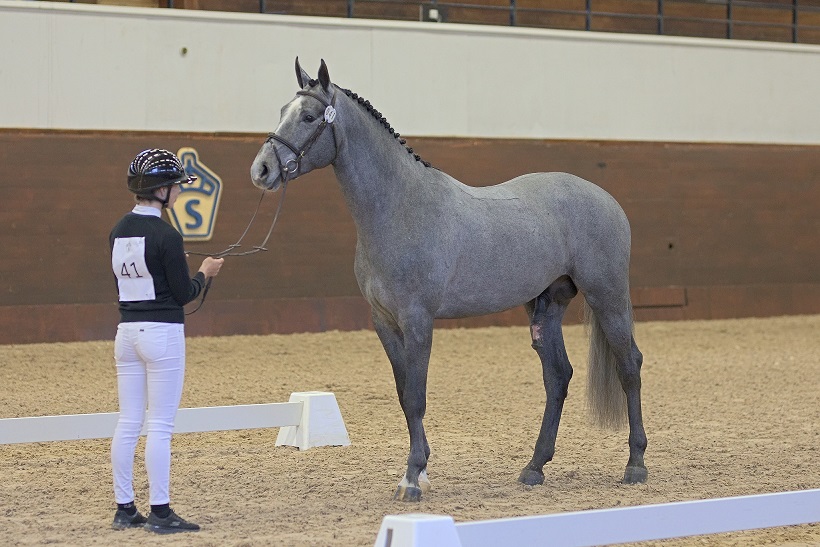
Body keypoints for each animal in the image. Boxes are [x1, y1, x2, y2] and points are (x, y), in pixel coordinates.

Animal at [250, 57, 648, 504]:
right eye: (282, 111)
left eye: (308, 116)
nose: (262, 169)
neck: (400, 208)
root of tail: (606, 199)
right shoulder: (384, 322)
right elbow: (403, 395)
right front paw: (419, 469)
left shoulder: (418, 320)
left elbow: (416, 397)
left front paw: (412, 477)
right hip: (547, 306)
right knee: (558, 377)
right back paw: (534, 467)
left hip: (607, 297)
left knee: (629, 366)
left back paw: (635, 464)